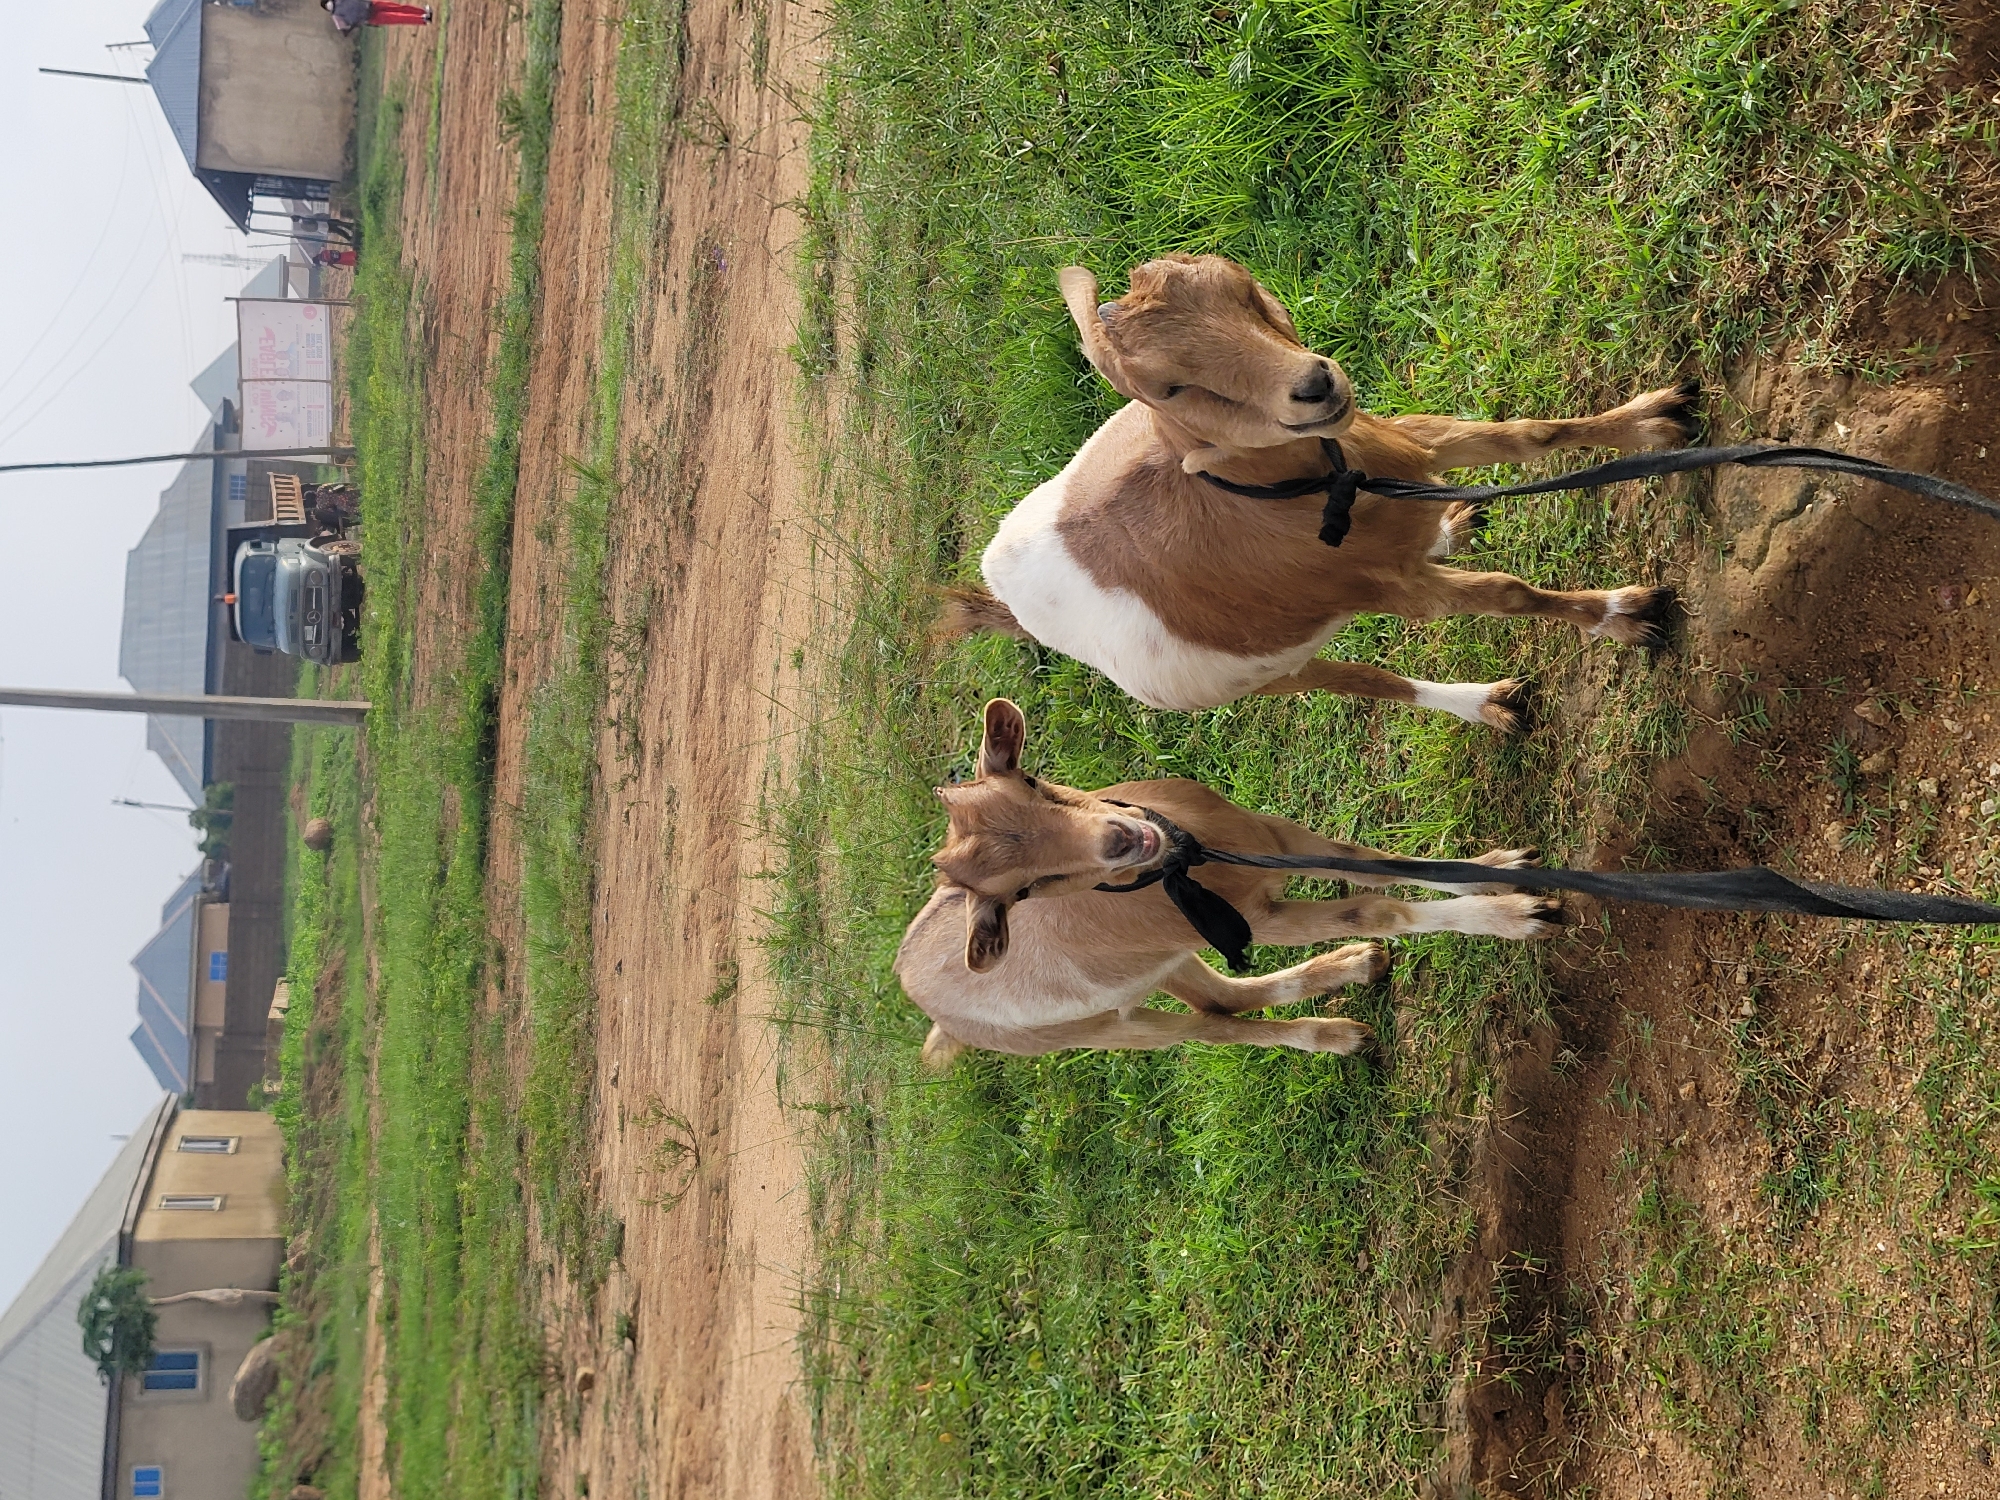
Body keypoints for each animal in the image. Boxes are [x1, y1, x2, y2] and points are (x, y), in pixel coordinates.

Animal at [895, 699, 1565, 1065]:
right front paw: (1519, 917)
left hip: (1159, 964)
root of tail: (919, 996)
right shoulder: (1258, 917)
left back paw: (1355, 967)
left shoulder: (1271, 837)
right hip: (1097, 1028)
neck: (1193, 857)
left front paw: (1506, 869)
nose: (1122, 841)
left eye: (1031, 782)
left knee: (1223, 998)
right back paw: (1335, 1036)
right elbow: (1377, 909)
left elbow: (1369, 860)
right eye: (1025, 889)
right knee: (1210, 1028)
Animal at [942, 255, 1698, 731]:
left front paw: (1652, 421)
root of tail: (997, 581)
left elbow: (1525, 437)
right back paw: (1487, 706)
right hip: (1264, 673)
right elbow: (1508, 593)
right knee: (1366, 681)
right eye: (1169, 387)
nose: (1313, 385)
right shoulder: (1392, 588)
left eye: (1238, 290)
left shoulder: (1405, 440)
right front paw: (1624, 615)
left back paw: (1450, 526)